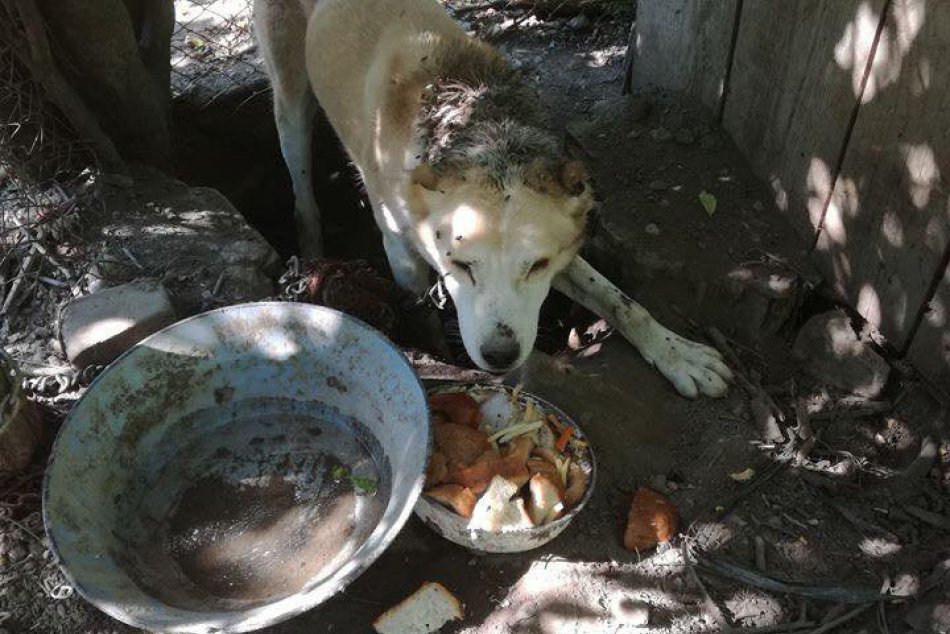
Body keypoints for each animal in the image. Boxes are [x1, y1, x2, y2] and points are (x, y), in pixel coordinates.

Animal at [249, 0, 732, 396]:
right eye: (461, 265)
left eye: (537, 266)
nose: (501, 356)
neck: (483, 127)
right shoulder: (401, 250)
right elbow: (422, 315)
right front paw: (438, 357)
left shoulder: (564, 247)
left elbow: (623, 302)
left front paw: (679, 354)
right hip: (290, 103)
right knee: (302, 195)